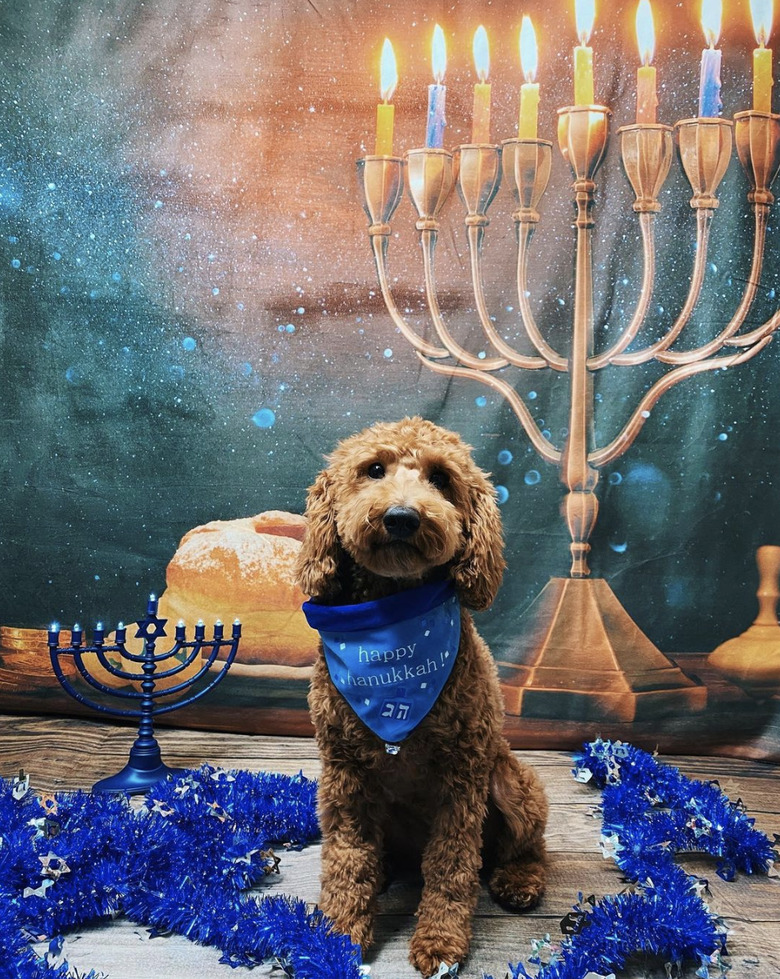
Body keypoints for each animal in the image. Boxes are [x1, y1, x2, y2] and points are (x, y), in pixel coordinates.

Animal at [294, 418, 548, 976]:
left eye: (441, 479)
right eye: (373, 470)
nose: (401, 517)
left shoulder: (462, 777)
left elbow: (452, 866)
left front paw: (440, 941)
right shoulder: (343, 775)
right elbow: (346, 859)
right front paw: (337, 936)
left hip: (511, 784)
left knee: (526, 845)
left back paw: (519, 879)